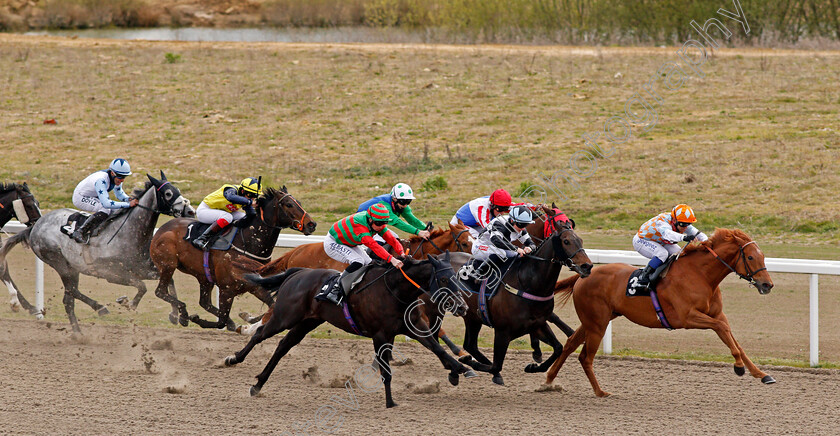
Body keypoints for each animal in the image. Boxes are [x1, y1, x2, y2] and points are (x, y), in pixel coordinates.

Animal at [0, 172, 194, 332]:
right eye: (168, 194)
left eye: (177, 189)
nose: (190, 211)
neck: (129, 233)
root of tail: (36, 226)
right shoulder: (112, 273)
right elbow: (142, 286)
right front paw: (128, 303)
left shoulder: (143, 269)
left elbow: (169, 282)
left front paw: (174, 315)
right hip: (60, 263)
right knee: (72, 292)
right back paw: (99, 309)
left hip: (72, 268)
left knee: (69, 299)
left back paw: (78, 333)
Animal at [148, 185, 316, 330]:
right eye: (289, 204)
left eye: (299, 203)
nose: (311, 224)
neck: (247, 241)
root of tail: (162, 229)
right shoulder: (227, 289)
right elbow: (221, 321)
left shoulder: (255, 285)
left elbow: (271, 305)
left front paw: (247, 317)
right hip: (168, 265)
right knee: (160, 291)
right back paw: (183, 314)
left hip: (204, 276)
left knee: (204, 302)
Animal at [223, 254, 476, 408]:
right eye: (444, 279)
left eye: (456, 276)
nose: (463, 307)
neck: (395, 291)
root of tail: (297, 273)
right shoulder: (381, 335)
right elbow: (385, 371)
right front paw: (390, 402)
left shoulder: (413, 327)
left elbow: (438, 349)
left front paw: (460, 369)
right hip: (285, 316)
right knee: (260, 334)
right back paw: (233, 359)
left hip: (307, 322)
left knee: (283, 345)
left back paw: (258, 385)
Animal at [544, 230, 776, 396]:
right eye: (750, 257)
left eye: (763, 256)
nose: (767, 285)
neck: (700, 275)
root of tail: (584, 274)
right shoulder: (687, 317)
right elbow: (723, 330)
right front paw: (738, 367)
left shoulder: (717, 315)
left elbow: (730, 336)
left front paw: (761, 374)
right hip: (597, 323)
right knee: (585, 356)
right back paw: (600, 392)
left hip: (596, 320)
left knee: (571, 343)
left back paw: (548, 381)